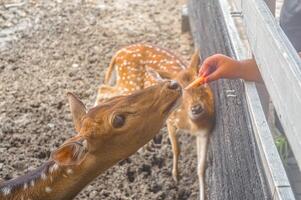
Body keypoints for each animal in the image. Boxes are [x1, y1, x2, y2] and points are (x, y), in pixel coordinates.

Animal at [95, 43, 214, 200]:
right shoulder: (170, 119)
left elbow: (201, 168)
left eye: (201, 84)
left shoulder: (204, 132)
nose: (196, 108)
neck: (192, 125)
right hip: (129, 85)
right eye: (182, 90)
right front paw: (176, 177)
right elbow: (176, 148)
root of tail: (118, 53)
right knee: (103, 89)